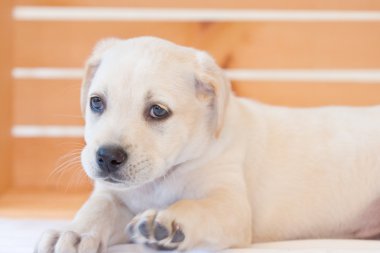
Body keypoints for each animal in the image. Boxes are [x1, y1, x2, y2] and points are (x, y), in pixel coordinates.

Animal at [35, 36, 380, 253]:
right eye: (96, 102)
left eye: (158, 111)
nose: (107, 157)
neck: (164, 177)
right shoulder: (112, 195)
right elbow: (96, 209)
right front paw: (73, 233)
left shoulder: (230, 205)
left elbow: (195, 205)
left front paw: (168, 221)